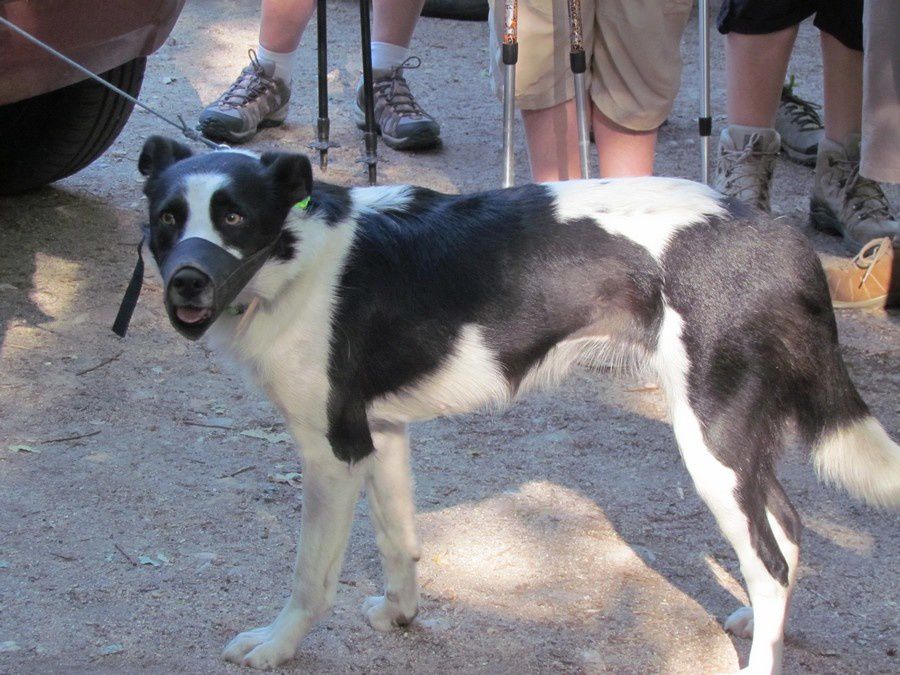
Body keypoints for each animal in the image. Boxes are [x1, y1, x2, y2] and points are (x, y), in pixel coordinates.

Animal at [137, 136, 896, 672]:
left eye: (234, 217)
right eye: (167, 220)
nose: (187, 284)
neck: (297, 256)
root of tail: (775, 235)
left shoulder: (333, 451)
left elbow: (310, 575)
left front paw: (276, 644)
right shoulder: (381, 433)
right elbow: (399, 541)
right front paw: (402, 614)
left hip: (712, 440)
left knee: (770, 560)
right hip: (735, 438)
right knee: (787, 532)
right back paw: (755, 622)